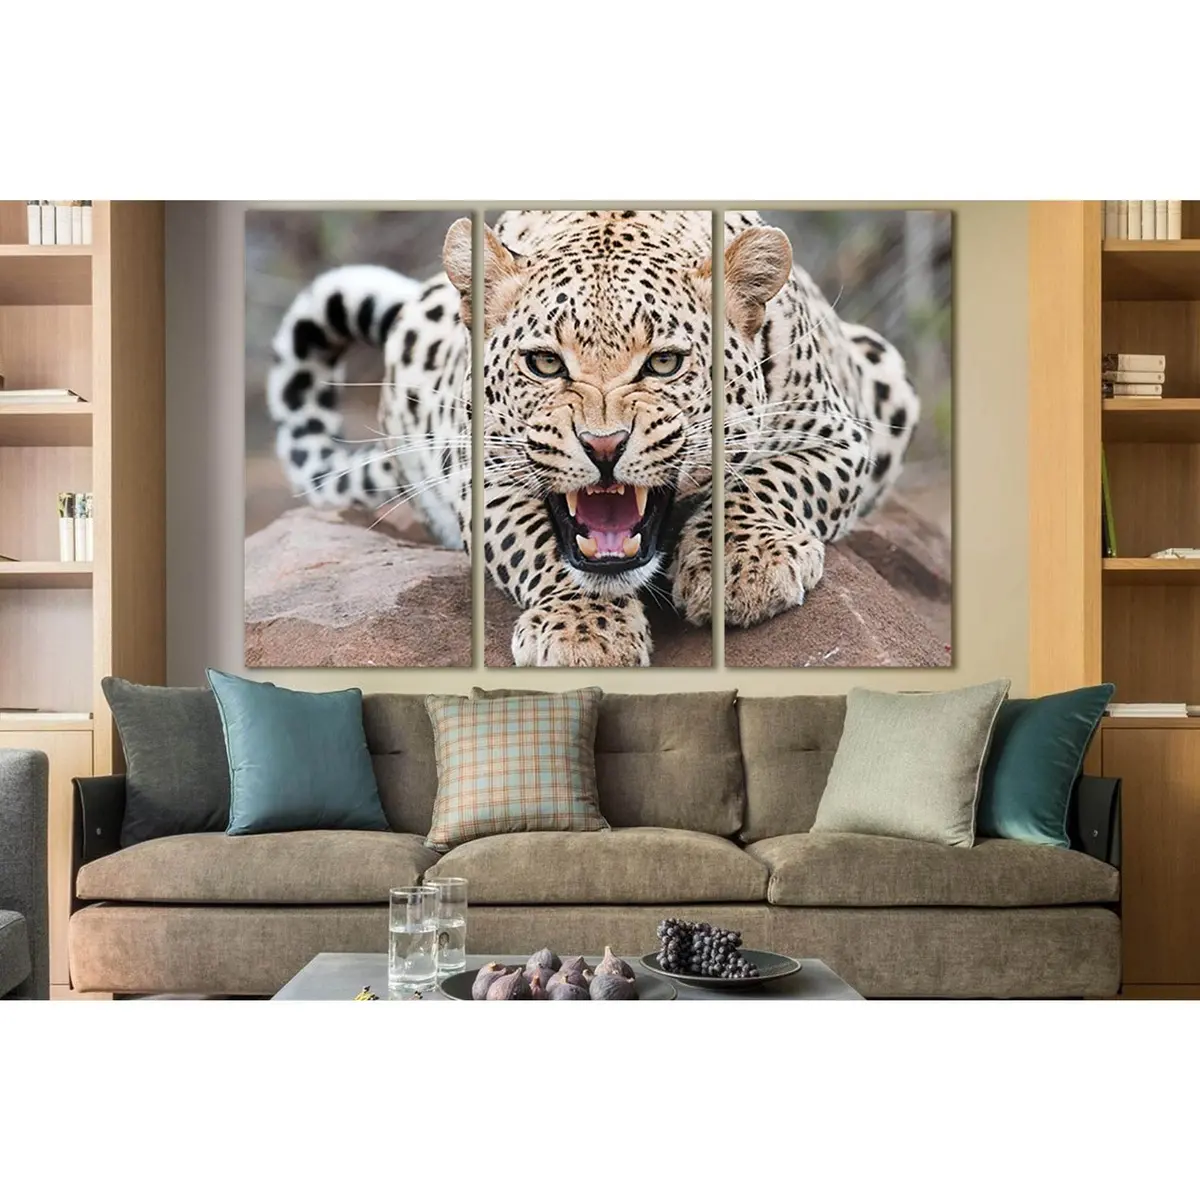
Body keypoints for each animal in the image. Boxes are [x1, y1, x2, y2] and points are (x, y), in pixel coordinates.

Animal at [267, 209, 919, 668]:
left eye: (663, 363)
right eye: (545, 363)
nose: (604, 446)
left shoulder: (839, 435)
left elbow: (767, 481)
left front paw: (745, 568)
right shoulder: (483, 472)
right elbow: (537, 544)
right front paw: (583, 631)